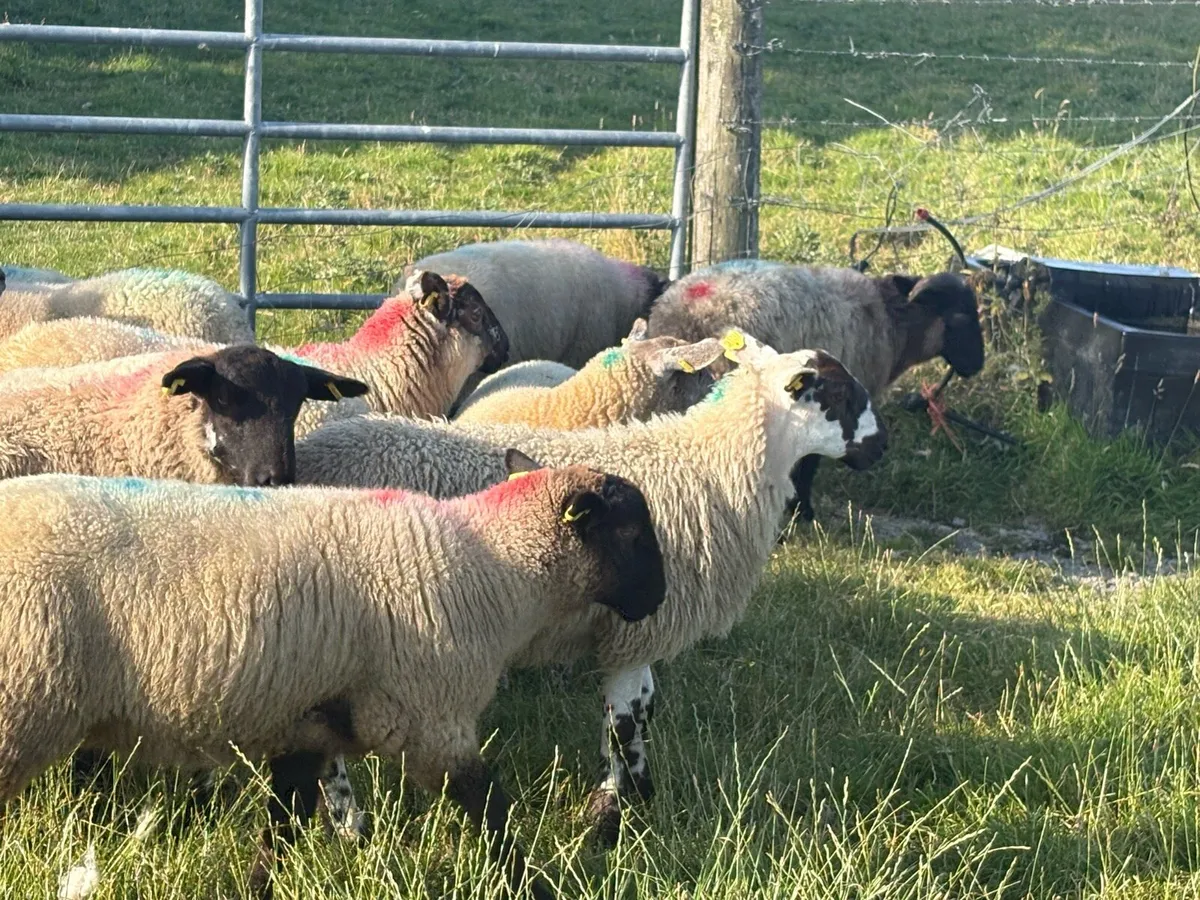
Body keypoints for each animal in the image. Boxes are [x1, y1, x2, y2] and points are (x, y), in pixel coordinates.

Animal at [0, 461, 666, 899]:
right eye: (635, 534)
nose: (658, 600)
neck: (497, 570)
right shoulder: (434, 718)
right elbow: (491, 812)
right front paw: (535, 885)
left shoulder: (307, 728)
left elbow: (281, 833)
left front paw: (256, 889)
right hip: (21, 703)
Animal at [295, 333, 887, 843]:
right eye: (838, 393)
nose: (881, 447)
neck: (712, 467)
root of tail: (309, 455)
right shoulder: (637, 626)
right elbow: (623, 722)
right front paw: (613, 814)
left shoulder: (638, 627)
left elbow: (642, 709)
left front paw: (633, 790)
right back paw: (350, 825)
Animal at [646, 261, 983, 521]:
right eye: (962, 316)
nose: (977, 365)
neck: (892, 324)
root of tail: (681, 316)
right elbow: (809, 462)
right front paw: (803, 512)